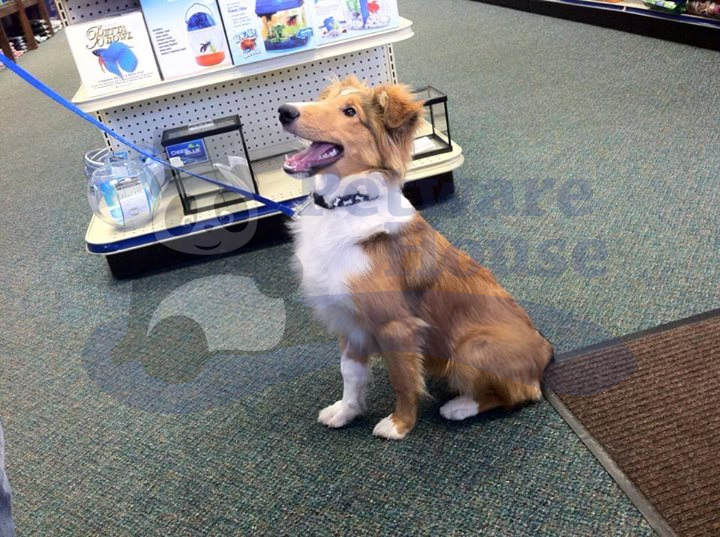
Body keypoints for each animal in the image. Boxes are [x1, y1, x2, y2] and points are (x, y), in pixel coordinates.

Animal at [279, 76, 553, 440]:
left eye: (350, 112)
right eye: (323, 100)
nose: (284, 111)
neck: (346, 204)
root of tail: (546, 349)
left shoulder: (396, 326)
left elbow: (403, 379)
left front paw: (399, 425)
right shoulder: (349, 321)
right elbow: (350, 374)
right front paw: (346, 411)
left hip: (471, 347)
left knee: (521, 392)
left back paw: (459, 406)